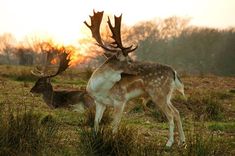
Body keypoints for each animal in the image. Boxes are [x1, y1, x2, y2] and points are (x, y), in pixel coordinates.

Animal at [85, 11, 186, 147]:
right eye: (128, 60)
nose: (139, 70)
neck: (100, 88)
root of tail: (173, 71)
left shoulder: (120, 100)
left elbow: (115, 124)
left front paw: (112, 141)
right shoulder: (99, 102)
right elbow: (96, 122)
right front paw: (95, 139)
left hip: (158, 93)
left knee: (170, 115)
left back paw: (169, 143)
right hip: (167, 95)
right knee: (176, 112)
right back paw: (182, 141)